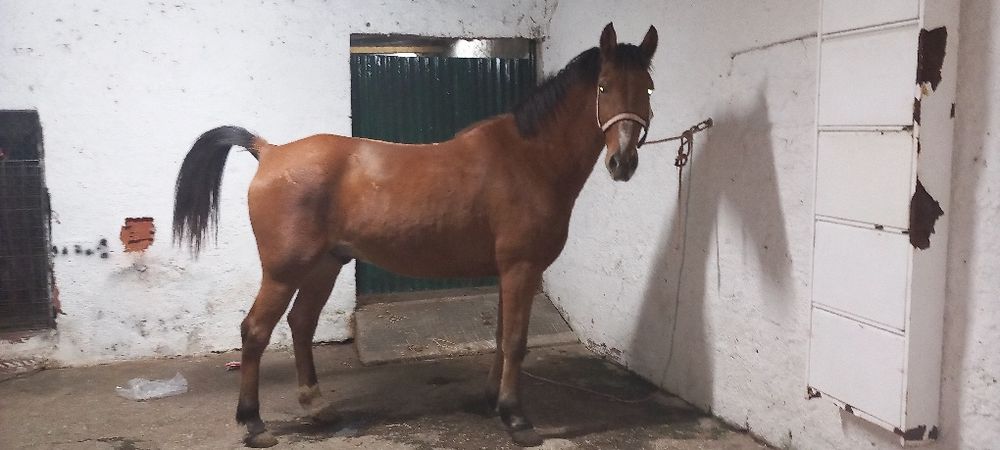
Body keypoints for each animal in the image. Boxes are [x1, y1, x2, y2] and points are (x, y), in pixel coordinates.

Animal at [173, 23, 657, 448]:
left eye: (649, 88)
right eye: (604, 86)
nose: (623, 162)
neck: (528, 159)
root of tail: (270, 151)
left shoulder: (509, 271)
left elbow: (502, 337)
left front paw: (493, 402)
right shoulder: (522, 268)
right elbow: (516, 342)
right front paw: (517, 419)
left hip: (325, 266)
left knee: (301, 324)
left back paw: (317, 407)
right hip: (283, 272)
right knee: (255, 331)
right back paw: (254, 423)